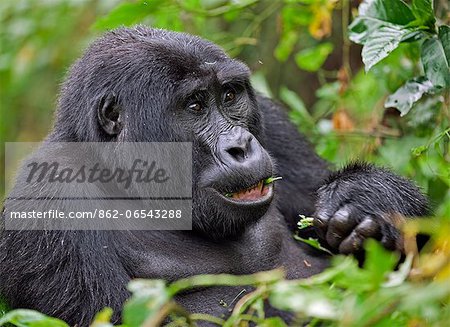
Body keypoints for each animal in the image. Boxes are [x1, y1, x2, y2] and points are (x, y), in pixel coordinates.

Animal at [0, 26, 428, 326]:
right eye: (194, 105)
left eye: (229, 96)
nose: (240, 145)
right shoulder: (46, 209)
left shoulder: (272, 124)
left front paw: (368, 199)